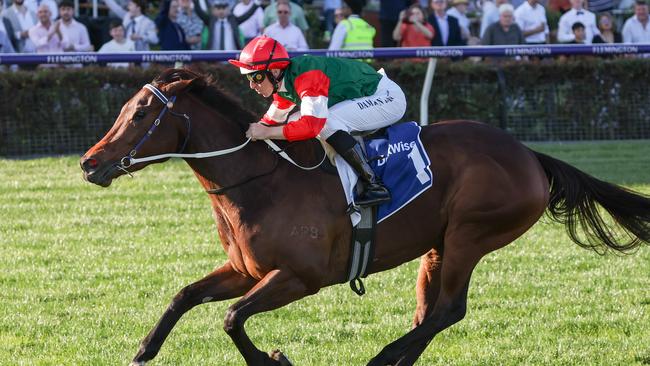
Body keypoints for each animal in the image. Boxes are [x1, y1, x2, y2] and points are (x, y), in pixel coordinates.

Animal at [79, 69, 648, 366]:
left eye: (139, 114)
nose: (88, 163)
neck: (262, 183)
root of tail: (529, 154)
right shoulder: (246, 270)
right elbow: (185, 296)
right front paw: (143, 351)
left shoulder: (300, 277)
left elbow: (232, 318)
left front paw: (274, 360)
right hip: (439, 244)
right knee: (429, 314)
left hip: (471, 233)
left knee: (448, 311)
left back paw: (379, 361)